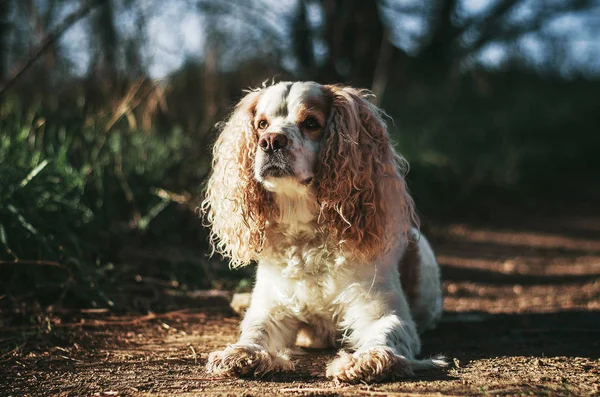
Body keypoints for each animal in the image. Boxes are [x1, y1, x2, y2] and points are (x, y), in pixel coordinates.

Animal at [202, 82, 446, 382]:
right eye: (261, 124)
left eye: (311, 122)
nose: (270, 141)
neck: (307, 236)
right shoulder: (272, 308)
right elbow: (255, 330)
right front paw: (243, 353)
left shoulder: (380, 311)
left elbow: (386, 333)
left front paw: (369, 359)